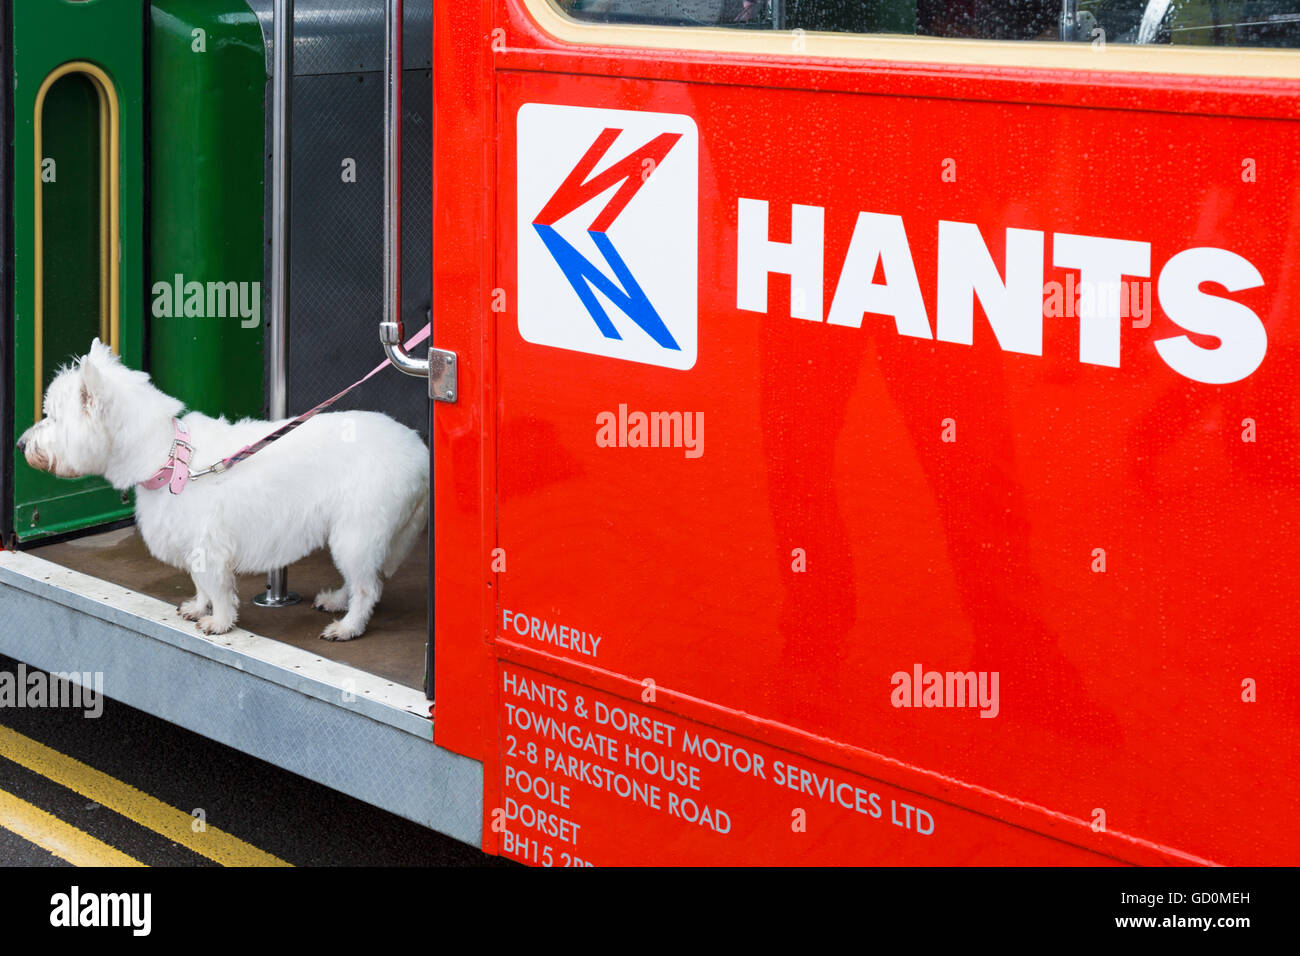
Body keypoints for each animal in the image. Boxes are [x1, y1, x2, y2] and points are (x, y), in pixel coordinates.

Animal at [16, 343, 426, 642]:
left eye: (53, 416)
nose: (20, 445)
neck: (167, 456)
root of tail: (418, 452)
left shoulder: (209, 544)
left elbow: (218, 588)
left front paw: (220, 622)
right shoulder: (192, 543)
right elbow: (201, 585)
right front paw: (199, 608)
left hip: (357, 529)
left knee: (367, 587)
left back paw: (348, 627)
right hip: (350, 533)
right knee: (359, 579)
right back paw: (336, 600)